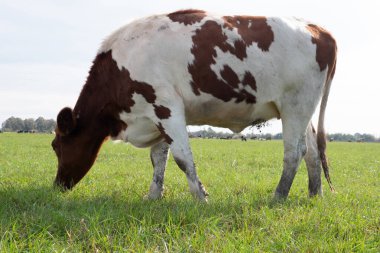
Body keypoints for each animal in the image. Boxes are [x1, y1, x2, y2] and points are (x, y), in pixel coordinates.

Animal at [51, 8, 336, 201]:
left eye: (56, 146)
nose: (57, 186)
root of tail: (317, 28)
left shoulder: (165, 106)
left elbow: (182, 157)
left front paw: (200, 197)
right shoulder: (155, 114)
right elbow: (158, 158)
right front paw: (153, 195)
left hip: (296, 104)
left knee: (294, 152)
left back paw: (278, 196)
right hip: (301, 110)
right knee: (311, 150)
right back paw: (314, 194)